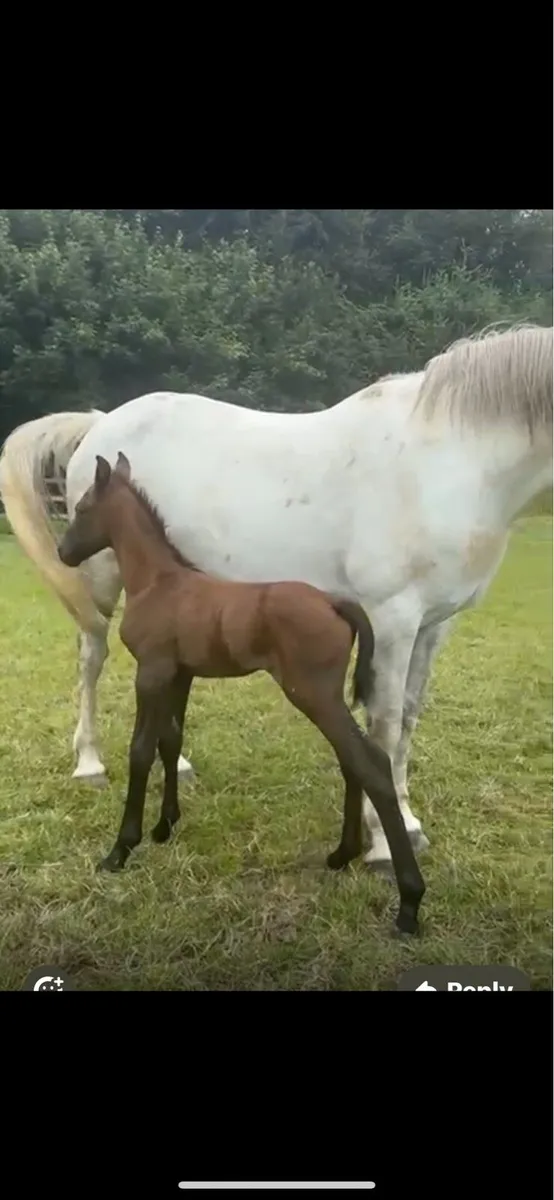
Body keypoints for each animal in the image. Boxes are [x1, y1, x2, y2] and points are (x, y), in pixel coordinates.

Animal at [0, 323, 551, 879]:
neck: (445, 460)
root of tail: (101, 420)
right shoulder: (392, 618)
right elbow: (385, 724)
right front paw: (381, 840)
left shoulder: (432, 625)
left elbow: (409, 719)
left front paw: (408, 823)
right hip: (101, 578)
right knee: (91, 657)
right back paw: (89, 763)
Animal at [57, 451, 426, 936]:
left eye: (82, 508)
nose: (63, 553)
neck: (158, 581)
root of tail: (334, 603)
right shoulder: (180, 675)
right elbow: (170, 741)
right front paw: (165, 826)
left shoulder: (151, 673)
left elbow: (141, 750)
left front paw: (121, 849)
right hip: (325, 697)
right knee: (354, 759)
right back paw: (341, 856)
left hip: (312, 693)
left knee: (371, 762)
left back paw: (409, 903)